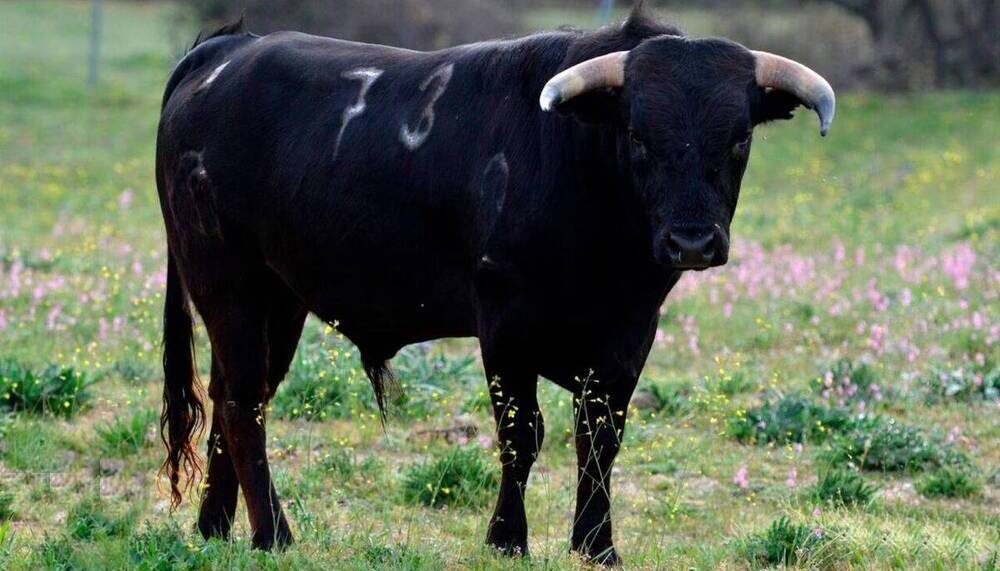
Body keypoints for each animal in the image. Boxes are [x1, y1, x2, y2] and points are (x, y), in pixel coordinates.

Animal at [154, 8, 828, 568]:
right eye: (639, 135)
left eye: (739, 137)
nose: (691, 242)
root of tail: (230, 49)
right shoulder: (505, 325)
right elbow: (520, 434)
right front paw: (508, 539)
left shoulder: (629, 334)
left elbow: (599, 438)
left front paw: (596, 546)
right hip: (228, 285)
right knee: (244, 405)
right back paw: (274, 535)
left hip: (279, 300)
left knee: (231, 397)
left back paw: (214, 529)